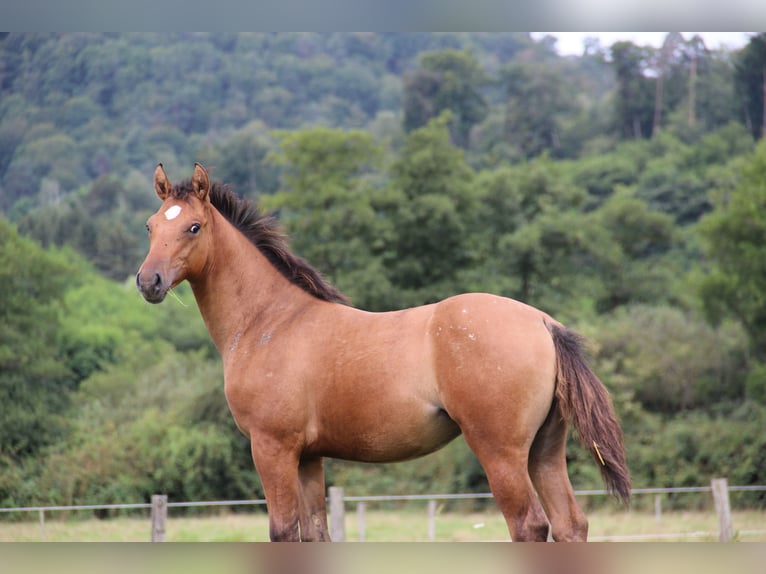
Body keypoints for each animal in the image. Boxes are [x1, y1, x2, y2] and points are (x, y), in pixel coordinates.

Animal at [136, 163, 632, 544]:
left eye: (193, 227)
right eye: (151, 226)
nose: (148, 282)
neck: (269, 322)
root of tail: (543, 323)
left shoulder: (272, 448)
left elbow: (283, 531)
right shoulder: (309, 457)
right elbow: (315, 533)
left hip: (501, 452)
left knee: (529, 525)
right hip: (544, 451)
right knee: (571, 525)